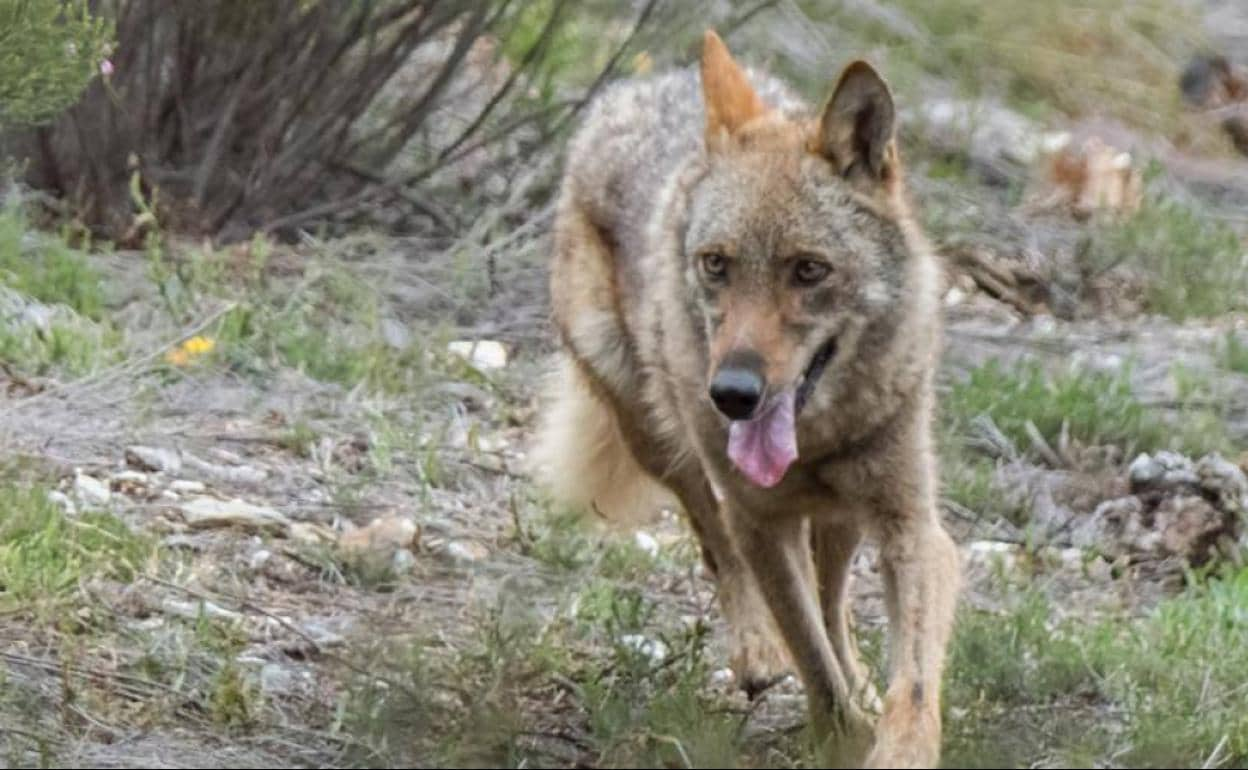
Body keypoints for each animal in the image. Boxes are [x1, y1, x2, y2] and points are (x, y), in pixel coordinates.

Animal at [531, 26, 958, 763]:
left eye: (809, 270)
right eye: (716, 264)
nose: (732, 393)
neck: (816, 439)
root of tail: (644, 86)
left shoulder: (910, 524)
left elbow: (909, 686)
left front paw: (889, 736)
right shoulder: (759, 520)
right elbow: (810, 659)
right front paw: (839, 732)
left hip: (844, 519)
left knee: (833, 601)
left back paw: (860, 680)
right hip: (659, 438)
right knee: (719, 546)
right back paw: (758, 654)